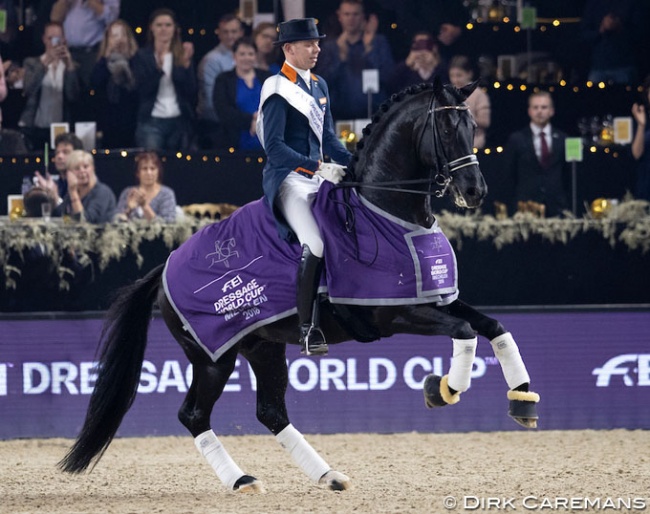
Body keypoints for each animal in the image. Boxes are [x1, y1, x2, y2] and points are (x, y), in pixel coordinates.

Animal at [59, 80, 536, 492]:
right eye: (446, 128)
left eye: (473, 128)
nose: (475, 191)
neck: (386, 210)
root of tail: (164, 267)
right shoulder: (394, 312)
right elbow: (466, 332)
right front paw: (443, 389)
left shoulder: (437, 299)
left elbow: (494, 328)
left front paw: (522, 401)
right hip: (214, 357)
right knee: (193, 414)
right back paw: (241, 480)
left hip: (263, 346)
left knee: (270, 410)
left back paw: (328, 475)